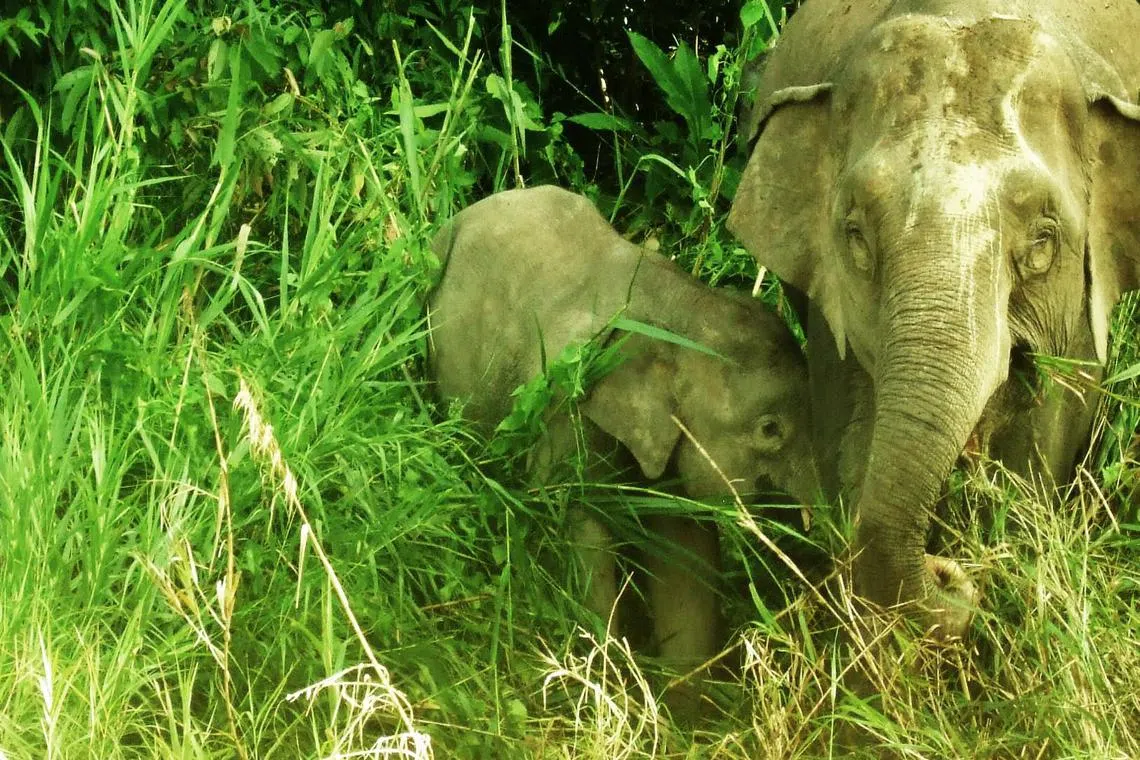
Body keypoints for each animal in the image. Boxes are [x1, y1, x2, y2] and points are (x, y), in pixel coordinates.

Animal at [427, 185, 821, 671]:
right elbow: (583, 537)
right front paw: (610, 672)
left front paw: (682, 688)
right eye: (769, 429)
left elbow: (682, 551)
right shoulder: (565, 409)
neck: (680, 309)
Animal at [728, 0, 1140, 639]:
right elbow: (848, 430)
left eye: (1043, 240)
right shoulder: (829, 306)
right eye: (855, 236)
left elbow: (1050, 424)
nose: (945, 571)